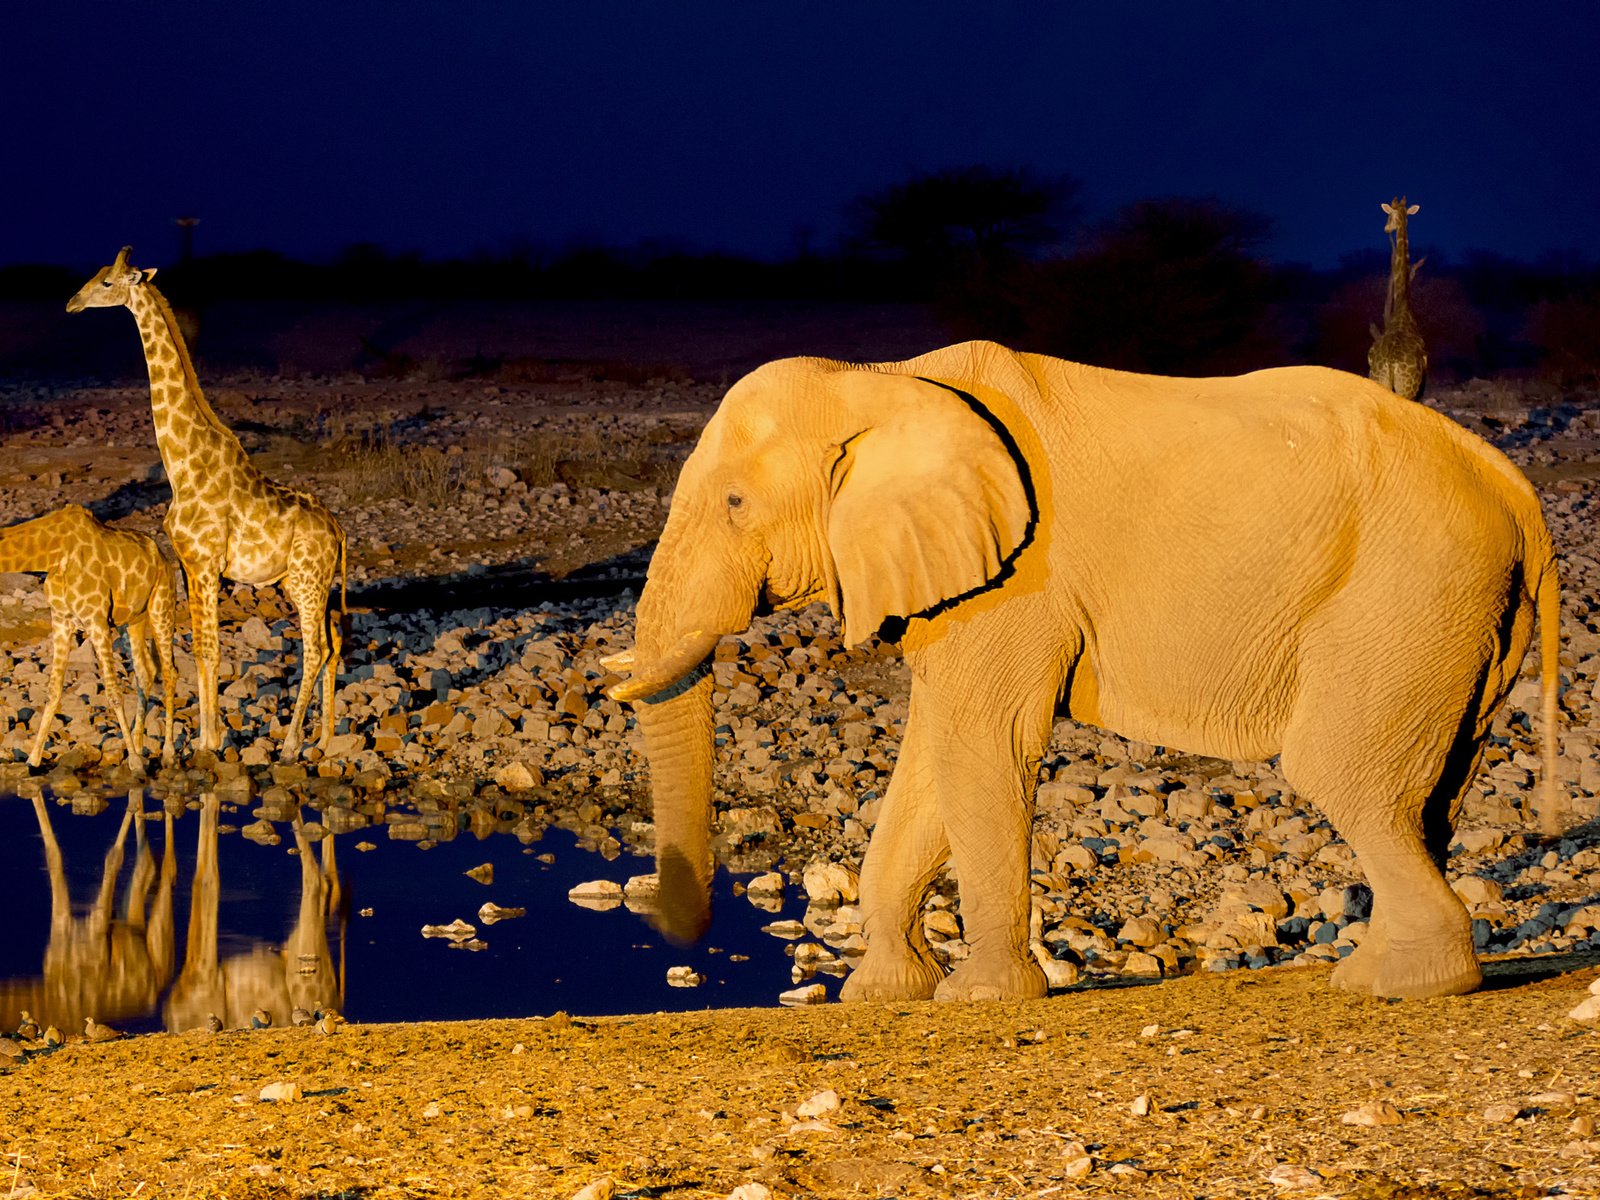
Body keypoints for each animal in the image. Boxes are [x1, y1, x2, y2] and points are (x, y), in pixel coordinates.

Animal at [0, 502, 176, 774]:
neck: (53, 553)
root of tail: (165, 559)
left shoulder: (96, 620)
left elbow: (113, 692)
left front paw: (135, 764)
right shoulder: (61, 620)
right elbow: (52, 691)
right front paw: (32, 760)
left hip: (162, 606)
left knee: (169, 673)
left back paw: (167, 755)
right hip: (132, 620)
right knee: (145, 671)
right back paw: (138, 746)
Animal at [68, 249, 347, 761]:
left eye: (107, 282)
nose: (72, 302)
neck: (181, 465)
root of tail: (339, 530)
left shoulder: (205, 563)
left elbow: (210, 649)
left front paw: (208, 743)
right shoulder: (187, 564)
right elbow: (198, 649)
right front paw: (202, 738)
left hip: (306, 581)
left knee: (316, 647)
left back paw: (291, 745)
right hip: (304, 582)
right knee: (334, 642)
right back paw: (324, 737)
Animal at [598, 340, 1548, 1004]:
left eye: (734, 504)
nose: (674, 933)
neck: (882, 380)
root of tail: (1507, 480)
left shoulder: (1019, 579)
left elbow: (982, 746)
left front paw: (980, 999)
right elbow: (932, 758)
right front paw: (881, 995)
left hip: (1408, 586)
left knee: (1341, 774)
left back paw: (1403, 986)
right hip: (1461, 616)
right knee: (1431, 793)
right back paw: (1381, 971)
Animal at [1369, 195, 1433, 401]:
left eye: (1389, 215)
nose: (1386, 228)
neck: (1404, 303)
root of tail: (1390, 364)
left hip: (1380, 381)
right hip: (1406, 388)